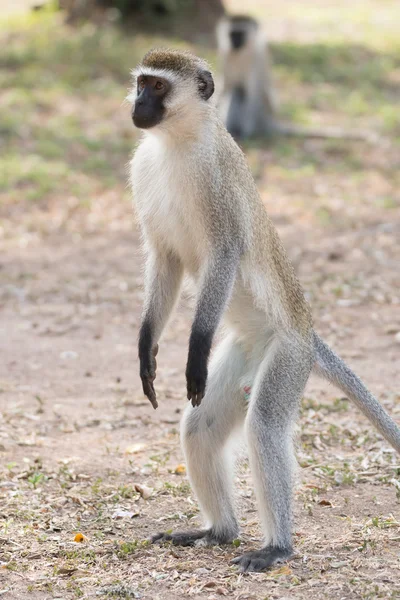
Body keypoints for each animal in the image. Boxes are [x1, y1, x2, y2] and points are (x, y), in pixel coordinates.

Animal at [128, 49, 400, 568]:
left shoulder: (216, 182)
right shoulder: (144, 171)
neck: (177, 142)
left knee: (265, 429)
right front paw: (146, 350)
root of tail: (306, 331)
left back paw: (277, 546)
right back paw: (219, 531)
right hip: (243, 351)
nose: (136, 105)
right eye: (141, 83)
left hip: (288, 356)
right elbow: (166, 259)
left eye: (157, 87)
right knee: (200, 427)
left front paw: (193, 349)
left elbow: (225, 253)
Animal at [216, 15, 376, 142]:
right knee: (235, 90)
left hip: (262, 114)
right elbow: (225, 87)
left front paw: (246, 133)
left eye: (240, 34)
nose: (235, 42)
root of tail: (270, 121)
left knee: (245, 93)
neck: (240, 53)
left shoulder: (256, 57)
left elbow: (254, 93)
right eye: (232, 34)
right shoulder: (225, 55)